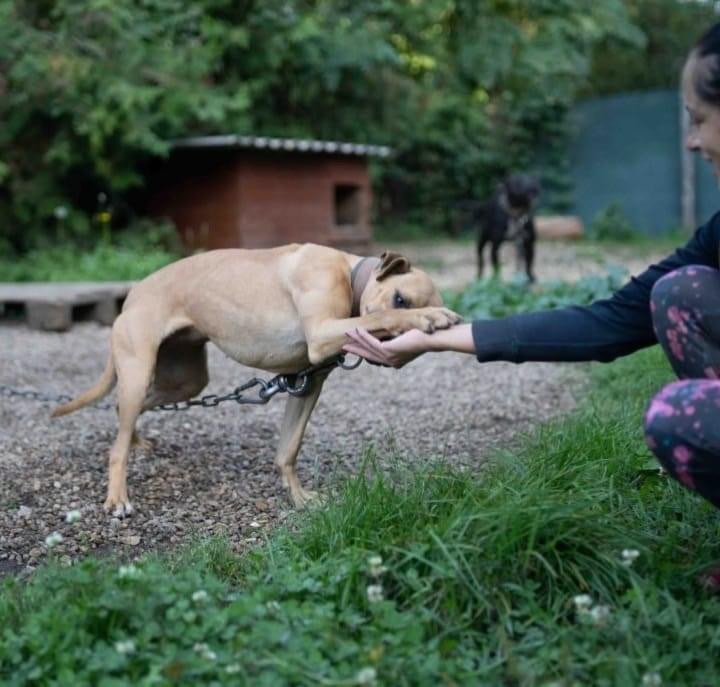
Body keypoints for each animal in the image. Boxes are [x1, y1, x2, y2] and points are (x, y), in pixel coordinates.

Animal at [54, 242, 462, 516]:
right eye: (400, 299)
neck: (349, 275)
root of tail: (133, 293)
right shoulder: (322, 333)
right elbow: (378, 317)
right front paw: (425, 318)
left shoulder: (306, 385)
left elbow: (288, 450)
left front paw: (298, 498)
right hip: (140, 373)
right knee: (117, 446)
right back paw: (118, 498)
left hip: (185, 382)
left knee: (123, 408)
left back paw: (137, 441)